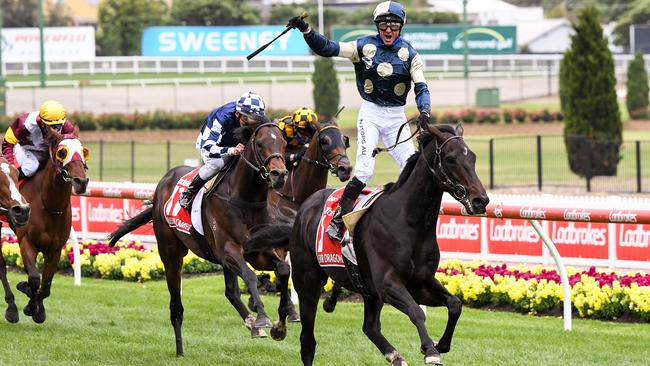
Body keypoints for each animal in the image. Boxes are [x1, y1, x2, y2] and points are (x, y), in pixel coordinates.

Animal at [14, 126, 88, 324]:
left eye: (84, 151)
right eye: (62, 152)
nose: (81, 182)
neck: (49, 205)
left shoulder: (55, 249)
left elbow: (45, 287)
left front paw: (38, 310)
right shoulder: (26, 241)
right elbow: (34, 278)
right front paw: (29, 304)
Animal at [108, 117, 286, 358]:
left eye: (284, 143)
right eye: (259, 144)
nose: (279, 175)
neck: (245, 200)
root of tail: (161, 187)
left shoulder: (258, 251)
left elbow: (283, 269)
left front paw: (283, 322)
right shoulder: (229, 250)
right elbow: (250, 277)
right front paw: (263, 318)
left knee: (231, 292)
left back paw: (250, 324)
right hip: (171, 254)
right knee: (176, 305)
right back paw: (180, 350)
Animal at [246, 124, 488, 364]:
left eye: (472, 157)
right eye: (450, 158)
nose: (481, 200)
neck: (409, 222)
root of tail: (303, 211)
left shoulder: (420, 283)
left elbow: (455, 304)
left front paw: (441, 344)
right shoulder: (388, 284)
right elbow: (416, 312)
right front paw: (430, 350)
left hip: (367, 289)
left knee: (370, 327)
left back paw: (394, 355)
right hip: (309, 282)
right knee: (307, 342)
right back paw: (280, 327)